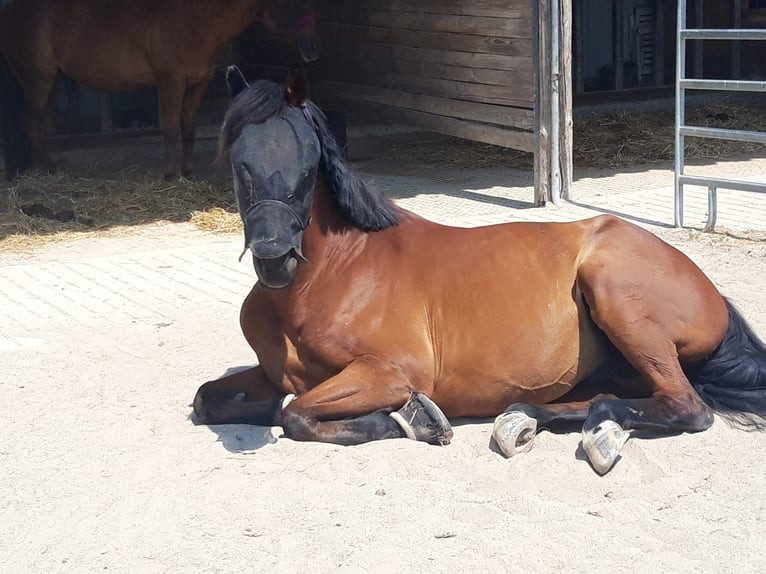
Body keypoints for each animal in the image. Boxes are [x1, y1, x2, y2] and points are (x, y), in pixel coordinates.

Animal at [0, 0, 318, 178]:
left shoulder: (197, 85)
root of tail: (11, 12)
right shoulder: (171, 82)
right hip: (38, 80)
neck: (195, 23)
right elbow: (171, 128)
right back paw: (43, 167)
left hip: (52, 82)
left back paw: (44, 163)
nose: (314, 50)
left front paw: (188, 171)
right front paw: (169, 173)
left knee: (36, 122)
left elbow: (188, 128)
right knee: (29, 121)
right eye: (293, 4)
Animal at [194, 66, 766, 476]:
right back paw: (525, 420)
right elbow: (218, 401)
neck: (334, 275)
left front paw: (416, 421)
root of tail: (709, 291)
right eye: (239, 161)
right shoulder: (274, 374)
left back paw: (600, 432)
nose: (275, 258)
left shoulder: (392, 371)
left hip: (618, 302)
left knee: (685, 407)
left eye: (308, 164)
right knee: (601, 397)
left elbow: (296, 415)